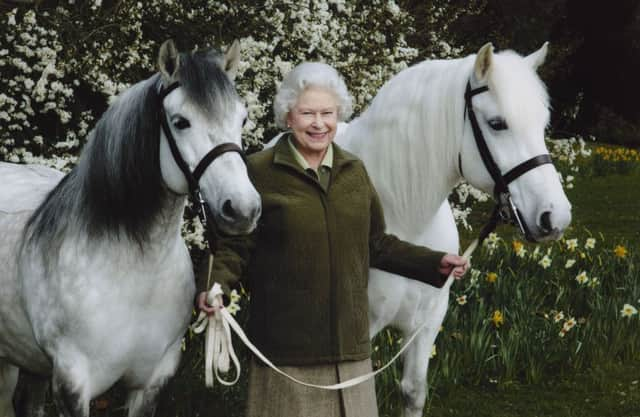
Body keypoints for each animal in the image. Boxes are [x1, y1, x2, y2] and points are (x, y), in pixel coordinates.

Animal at [0, 39, 262, 416]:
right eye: (180, 122)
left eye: (243, 118)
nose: (242, 209)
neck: (134, 270)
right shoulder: (72, 385)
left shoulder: (151, 383)